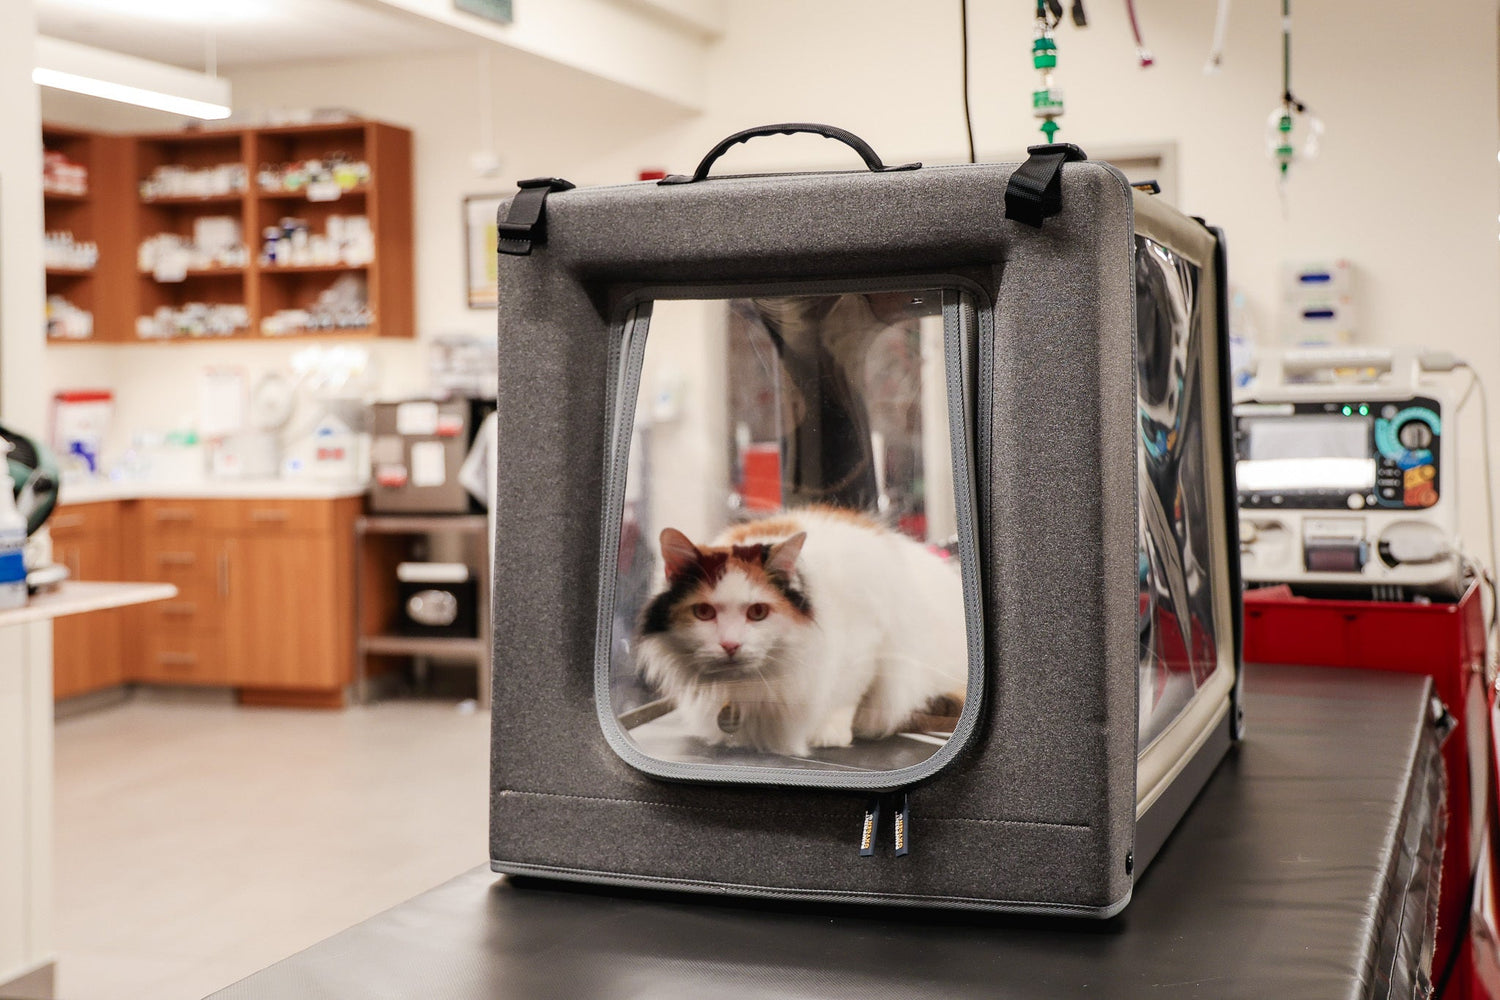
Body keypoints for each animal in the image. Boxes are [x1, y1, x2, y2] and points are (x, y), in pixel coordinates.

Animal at [630, 503, 960, 755]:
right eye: (704, 612)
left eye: (758, 612)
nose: (730, 645)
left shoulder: (868, 646)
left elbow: (847, 696)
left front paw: (829, 733)